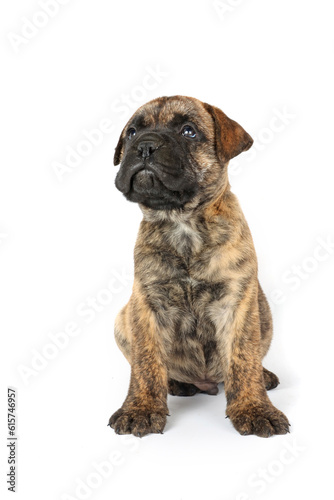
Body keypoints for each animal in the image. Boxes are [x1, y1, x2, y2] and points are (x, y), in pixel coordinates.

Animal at [107, 94, 290, 438]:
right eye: (132, 132)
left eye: (189, 132)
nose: (145, 146)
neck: (182, 223)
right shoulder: (147, 305)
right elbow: (146, 362)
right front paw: (142, 408)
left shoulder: (237, 303)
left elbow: (243, 359)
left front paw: (254, 408)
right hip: (122, 319)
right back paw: (176, 383)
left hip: (264, 315)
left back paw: (264, 376)